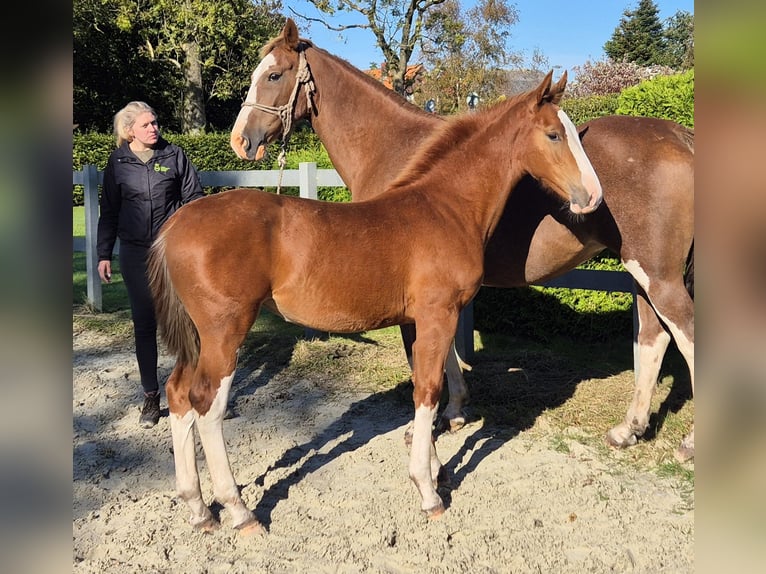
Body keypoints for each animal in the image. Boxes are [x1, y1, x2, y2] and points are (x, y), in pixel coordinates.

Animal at [150, 73, 608, 536]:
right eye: (553, 134)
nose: (592, 196)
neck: (447, 207)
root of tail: (175, 224)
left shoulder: (423, 320)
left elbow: (426, 383)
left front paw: (436, 470)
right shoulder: (437, 314)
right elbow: (429, 389)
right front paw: (428, 491)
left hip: (198, 336)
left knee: (178, 394)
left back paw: (199, 508)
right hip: (226, 331)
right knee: (206, 404)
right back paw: (240, 511)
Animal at [228, 19, 696, 464]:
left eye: (273, 75)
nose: (240, 140)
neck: (393, 148)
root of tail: (680, 136)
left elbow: (421, 357)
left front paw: (428, 426)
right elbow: (445, 350)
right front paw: (455, 409)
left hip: (658, 275)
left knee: (687, 335)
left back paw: (688, 443)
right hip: (643, 273)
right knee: (655, 337)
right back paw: (628, 429)